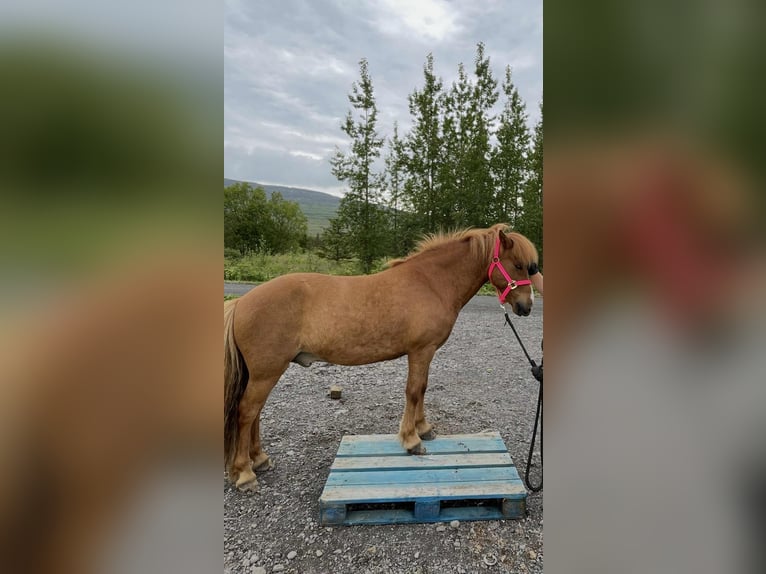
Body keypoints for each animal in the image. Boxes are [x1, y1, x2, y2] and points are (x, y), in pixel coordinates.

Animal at [223, 223, 539, 491]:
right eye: (518, 264)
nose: (526, 307)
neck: (431, 282)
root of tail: (241, 302)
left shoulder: (425, 353)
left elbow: (423, 389)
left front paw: (424, 429)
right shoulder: (420, 351)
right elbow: (414, 391)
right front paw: (411, 441)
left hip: (264, 373)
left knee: (255, 413)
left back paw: (259, 459)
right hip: (266, 372)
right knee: (247, 412)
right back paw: (245, 473)